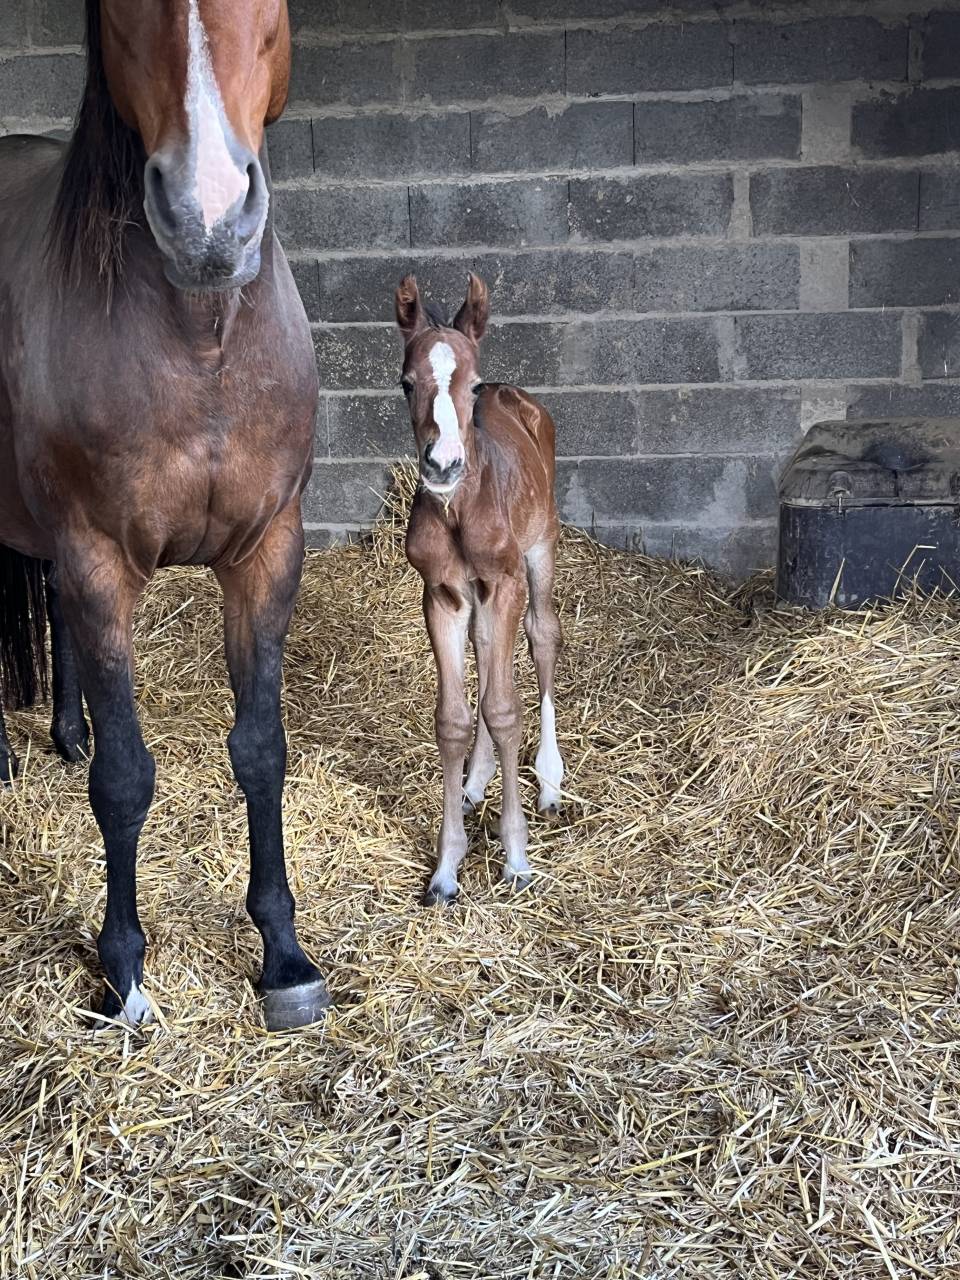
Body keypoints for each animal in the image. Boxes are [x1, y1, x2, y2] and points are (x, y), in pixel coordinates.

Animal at [0, 0, 327, 1031]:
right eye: (117, 8)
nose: (207, 219)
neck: (200, 339)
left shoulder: (268, 552)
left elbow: (260, 749)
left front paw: (284, 957)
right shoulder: (99, 560)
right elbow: (126, 780)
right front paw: (122, 972)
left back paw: (64, 732)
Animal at [395, 274, 565, 904]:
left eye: (469, 387)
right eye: (407, 383)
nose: (442, 465)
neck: (459, 509)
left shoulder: (505, 581)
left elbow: (503, 707)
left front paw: (515, 857)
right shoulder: (443, 594)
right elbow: (455, 718)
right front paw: (446, 867)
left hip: (541, 549)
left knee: (542, 636)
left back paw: (550, 781)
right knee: (488, 652)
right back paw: (475, 782)